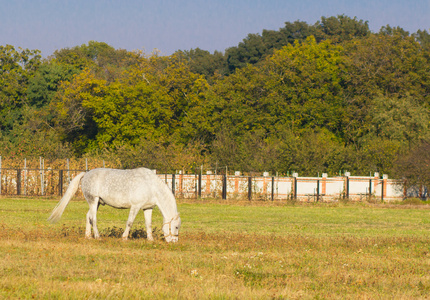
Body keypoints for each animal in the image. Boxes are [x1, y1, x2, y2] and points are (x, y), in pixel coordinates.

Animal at [48, 168, 180, 243]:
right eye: (176, 227)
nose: (174, 241)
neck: (151, 185)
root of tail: (86, 174)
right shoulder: (135, 206)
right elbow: (129, 222)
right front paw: (124, 238)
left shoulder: (147, 208)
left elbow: (148, 224)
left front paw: (150, 239)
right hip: (93, 200)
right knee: (93, 218)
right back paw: (97, 237)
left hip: (96, 203)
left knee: (88, 216)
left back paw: (88, 236)